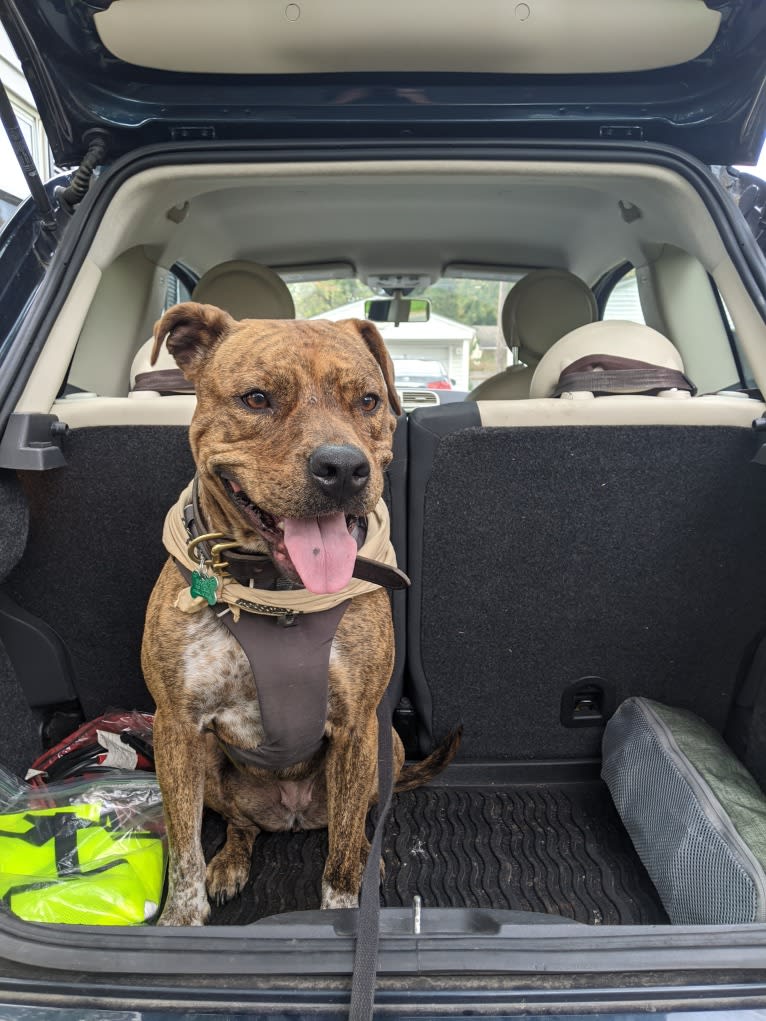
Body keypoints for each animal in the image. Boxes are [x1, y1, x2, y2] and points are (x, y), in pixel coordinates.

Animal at [141, 302, 459, 927]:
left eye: (368, 401)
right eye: (257, 398)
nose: (343, 467)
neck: (277, 594)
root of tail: (292, 812)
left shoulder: (358, 724)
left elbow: (338, 860)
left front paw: (345, 905)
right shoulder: (177, 727)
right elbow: (184, 848)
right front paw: (180, 921)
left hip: (386, 747)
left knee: (352, 823)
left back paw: (365, 857)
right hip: (212, 764)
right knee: (240, 824)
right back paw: (230, 861)